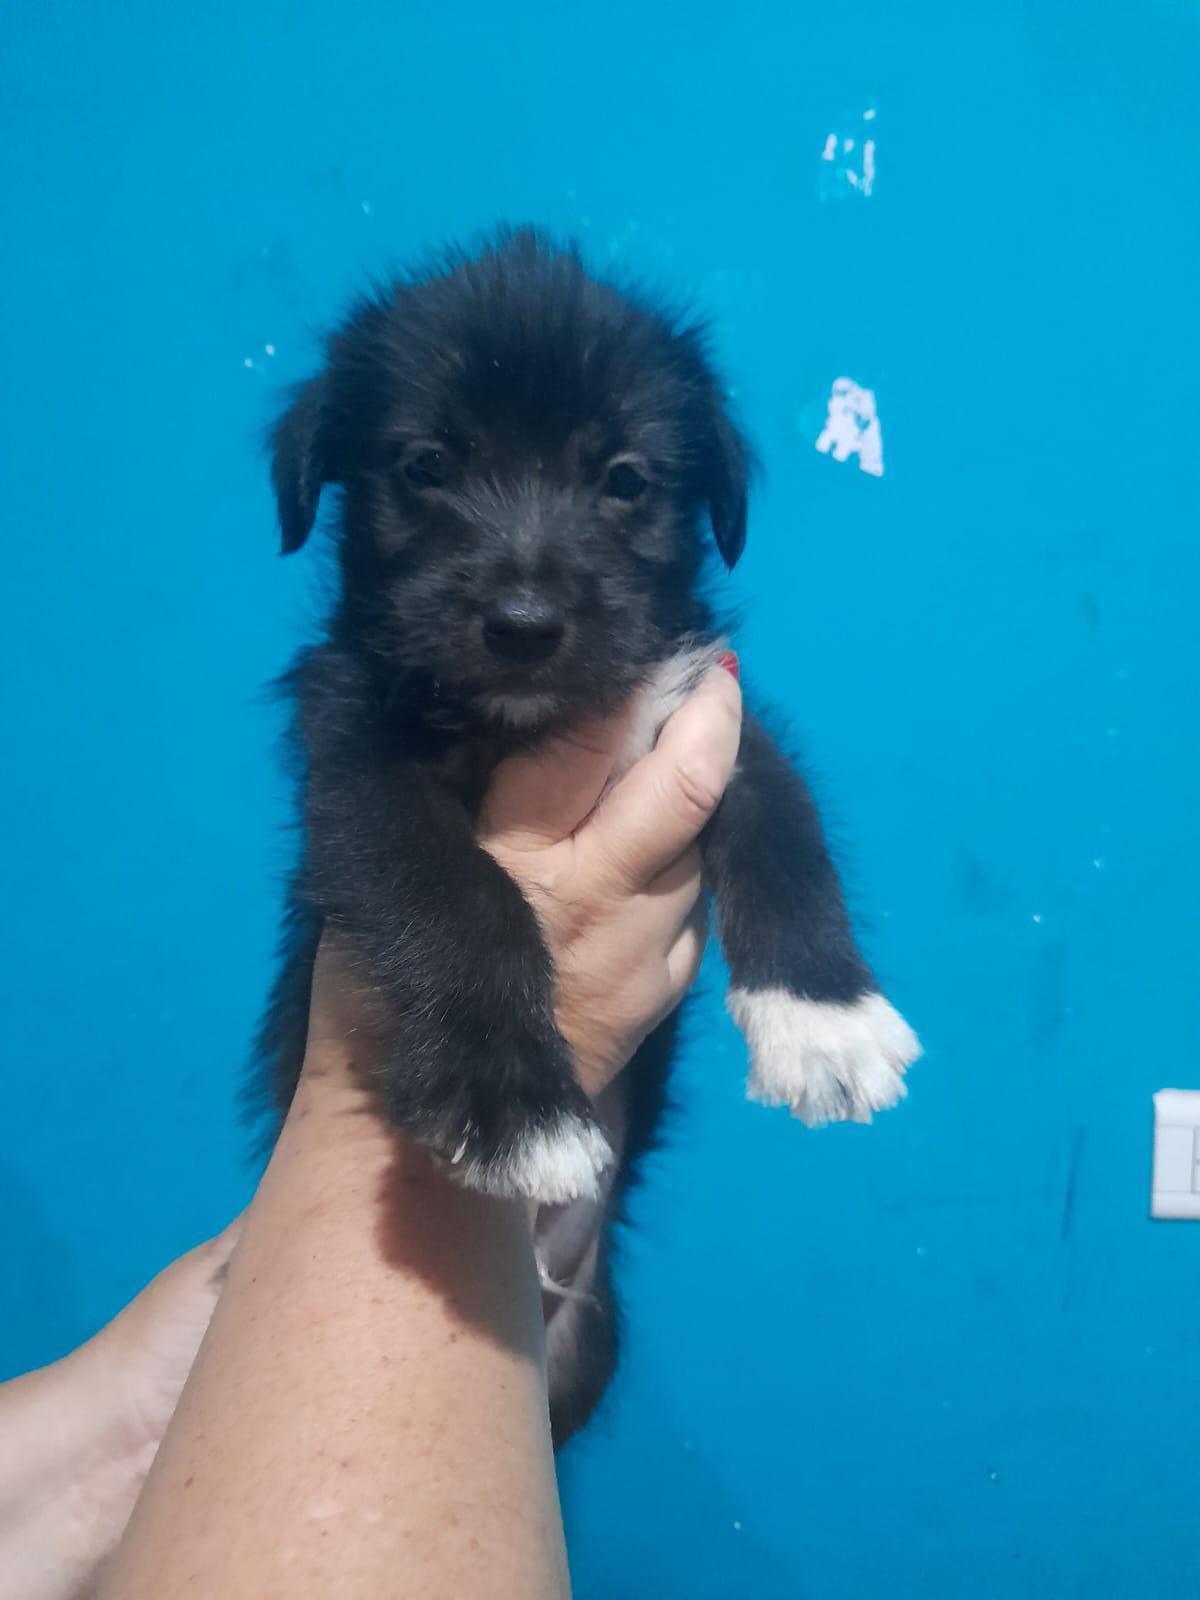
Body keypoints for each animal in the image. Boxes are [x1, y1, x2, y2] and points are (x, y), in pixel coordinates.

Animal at [256, 226, 920, 1444]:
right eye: (425, 466)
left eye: (624, 479)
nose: (523, 626)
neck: (530, 718)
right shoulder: (359, 776)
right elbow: (462, 897)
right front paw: (513, 1103)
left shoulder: (702, 709)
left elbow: (786, 823)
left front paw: (823, 1017)